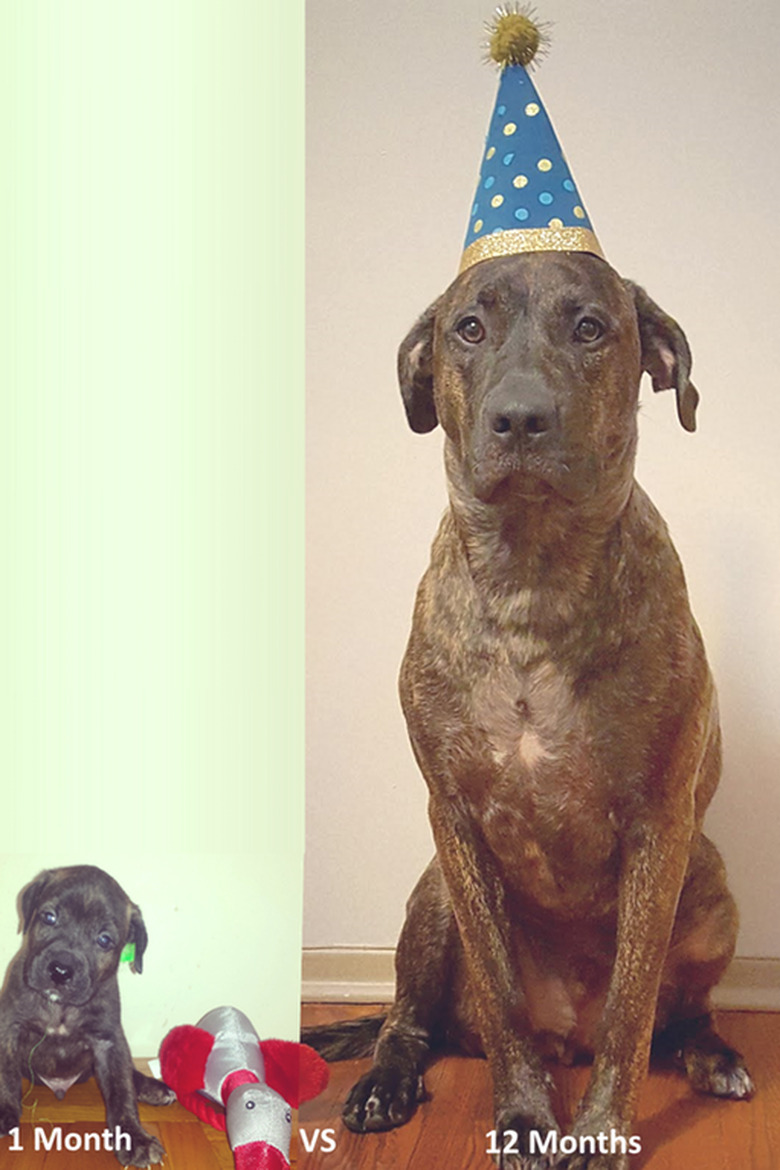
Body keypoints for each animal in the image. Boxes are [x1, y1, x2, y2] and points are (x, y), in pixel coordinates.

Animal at [0, 865, 171, 1165]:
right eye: (49, 917)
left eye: (104, 940)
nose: (60, 970)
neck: (61, 1007)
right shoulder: (9, 1026)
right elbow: (4, 1074)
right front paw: (3, 1110)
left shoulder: (109, 1041)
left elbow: (121, 1089)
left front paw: (133, 1136)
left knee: (129, 1072)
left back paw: (152, 1087)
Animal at [306, 251, 757, 1165]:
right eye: (468, 329)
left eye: (590, 327)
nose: (520, 417)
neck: (533, 577)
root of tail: (566, 1039)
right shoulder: (455, 819)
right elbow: (502, 996)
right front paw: (521, 1115)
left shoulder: (659, 826)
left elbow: (632, 1006)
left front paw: (603, 1128)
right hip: (432, 896)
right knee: (407, 1020)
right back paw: (384, 1081)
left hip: (711, 888)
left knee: (678, 1014)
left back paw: (711, 1054)